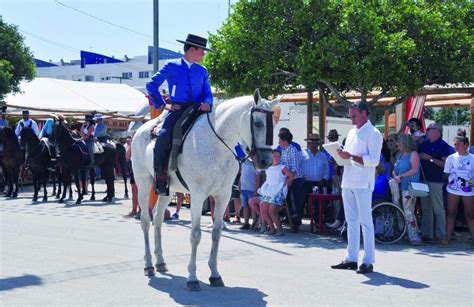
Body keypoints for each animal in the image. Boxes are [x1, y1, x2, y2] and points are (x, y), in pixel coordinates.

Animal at [131, 89, 278, 292]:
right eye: (258, 123)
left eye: (274, 124)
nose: (266, 161)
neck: (216, 143)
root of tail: (141, 130)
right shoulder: (198, 195)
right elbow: (195, 235)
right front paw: (192, 277)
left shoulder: (223, 195)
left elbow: (216, 233)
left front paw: (215, 274)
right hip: (143, 182)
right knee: (146, 220)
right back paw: (148, 265)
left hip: (167, 190)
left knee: (158, 219)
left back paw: (160, 261)